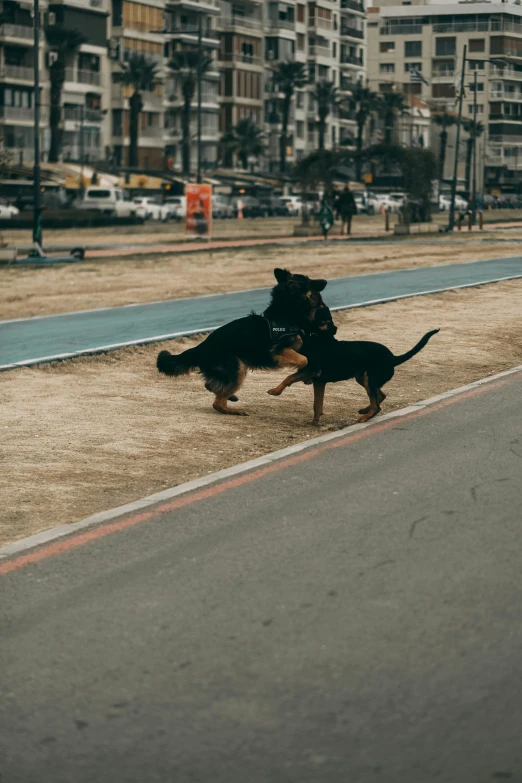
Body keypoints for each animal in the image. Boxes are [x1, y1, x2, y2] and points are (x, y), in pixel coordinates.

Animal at [154, 268, 324, 416]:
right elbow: (303, 360)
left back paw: (228, 395)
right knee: (217, 403)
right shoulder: (279, 351)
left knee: (211, 386)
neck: (286, 312)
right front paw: (303, 375)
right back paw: (235, 410)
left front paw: (306, 377)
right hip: (238, 367)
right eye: (309, 282)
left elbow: (304, 360)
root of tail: (200, 347)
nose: (325, 281)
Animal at [268, 304, 438, 426]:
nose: (273, 348)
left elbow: (289, 378)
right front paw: (314, 422)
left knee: (377, 405)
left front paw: (275, 391)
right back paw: (364, 410)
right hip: (363, 378)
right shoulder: (319, 382)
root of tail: (393, 358)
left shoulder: (312, 372)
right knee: (380, 397)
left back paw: (364, 417)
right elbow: (317, 405)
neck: (313, 338)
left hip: (370, 379)